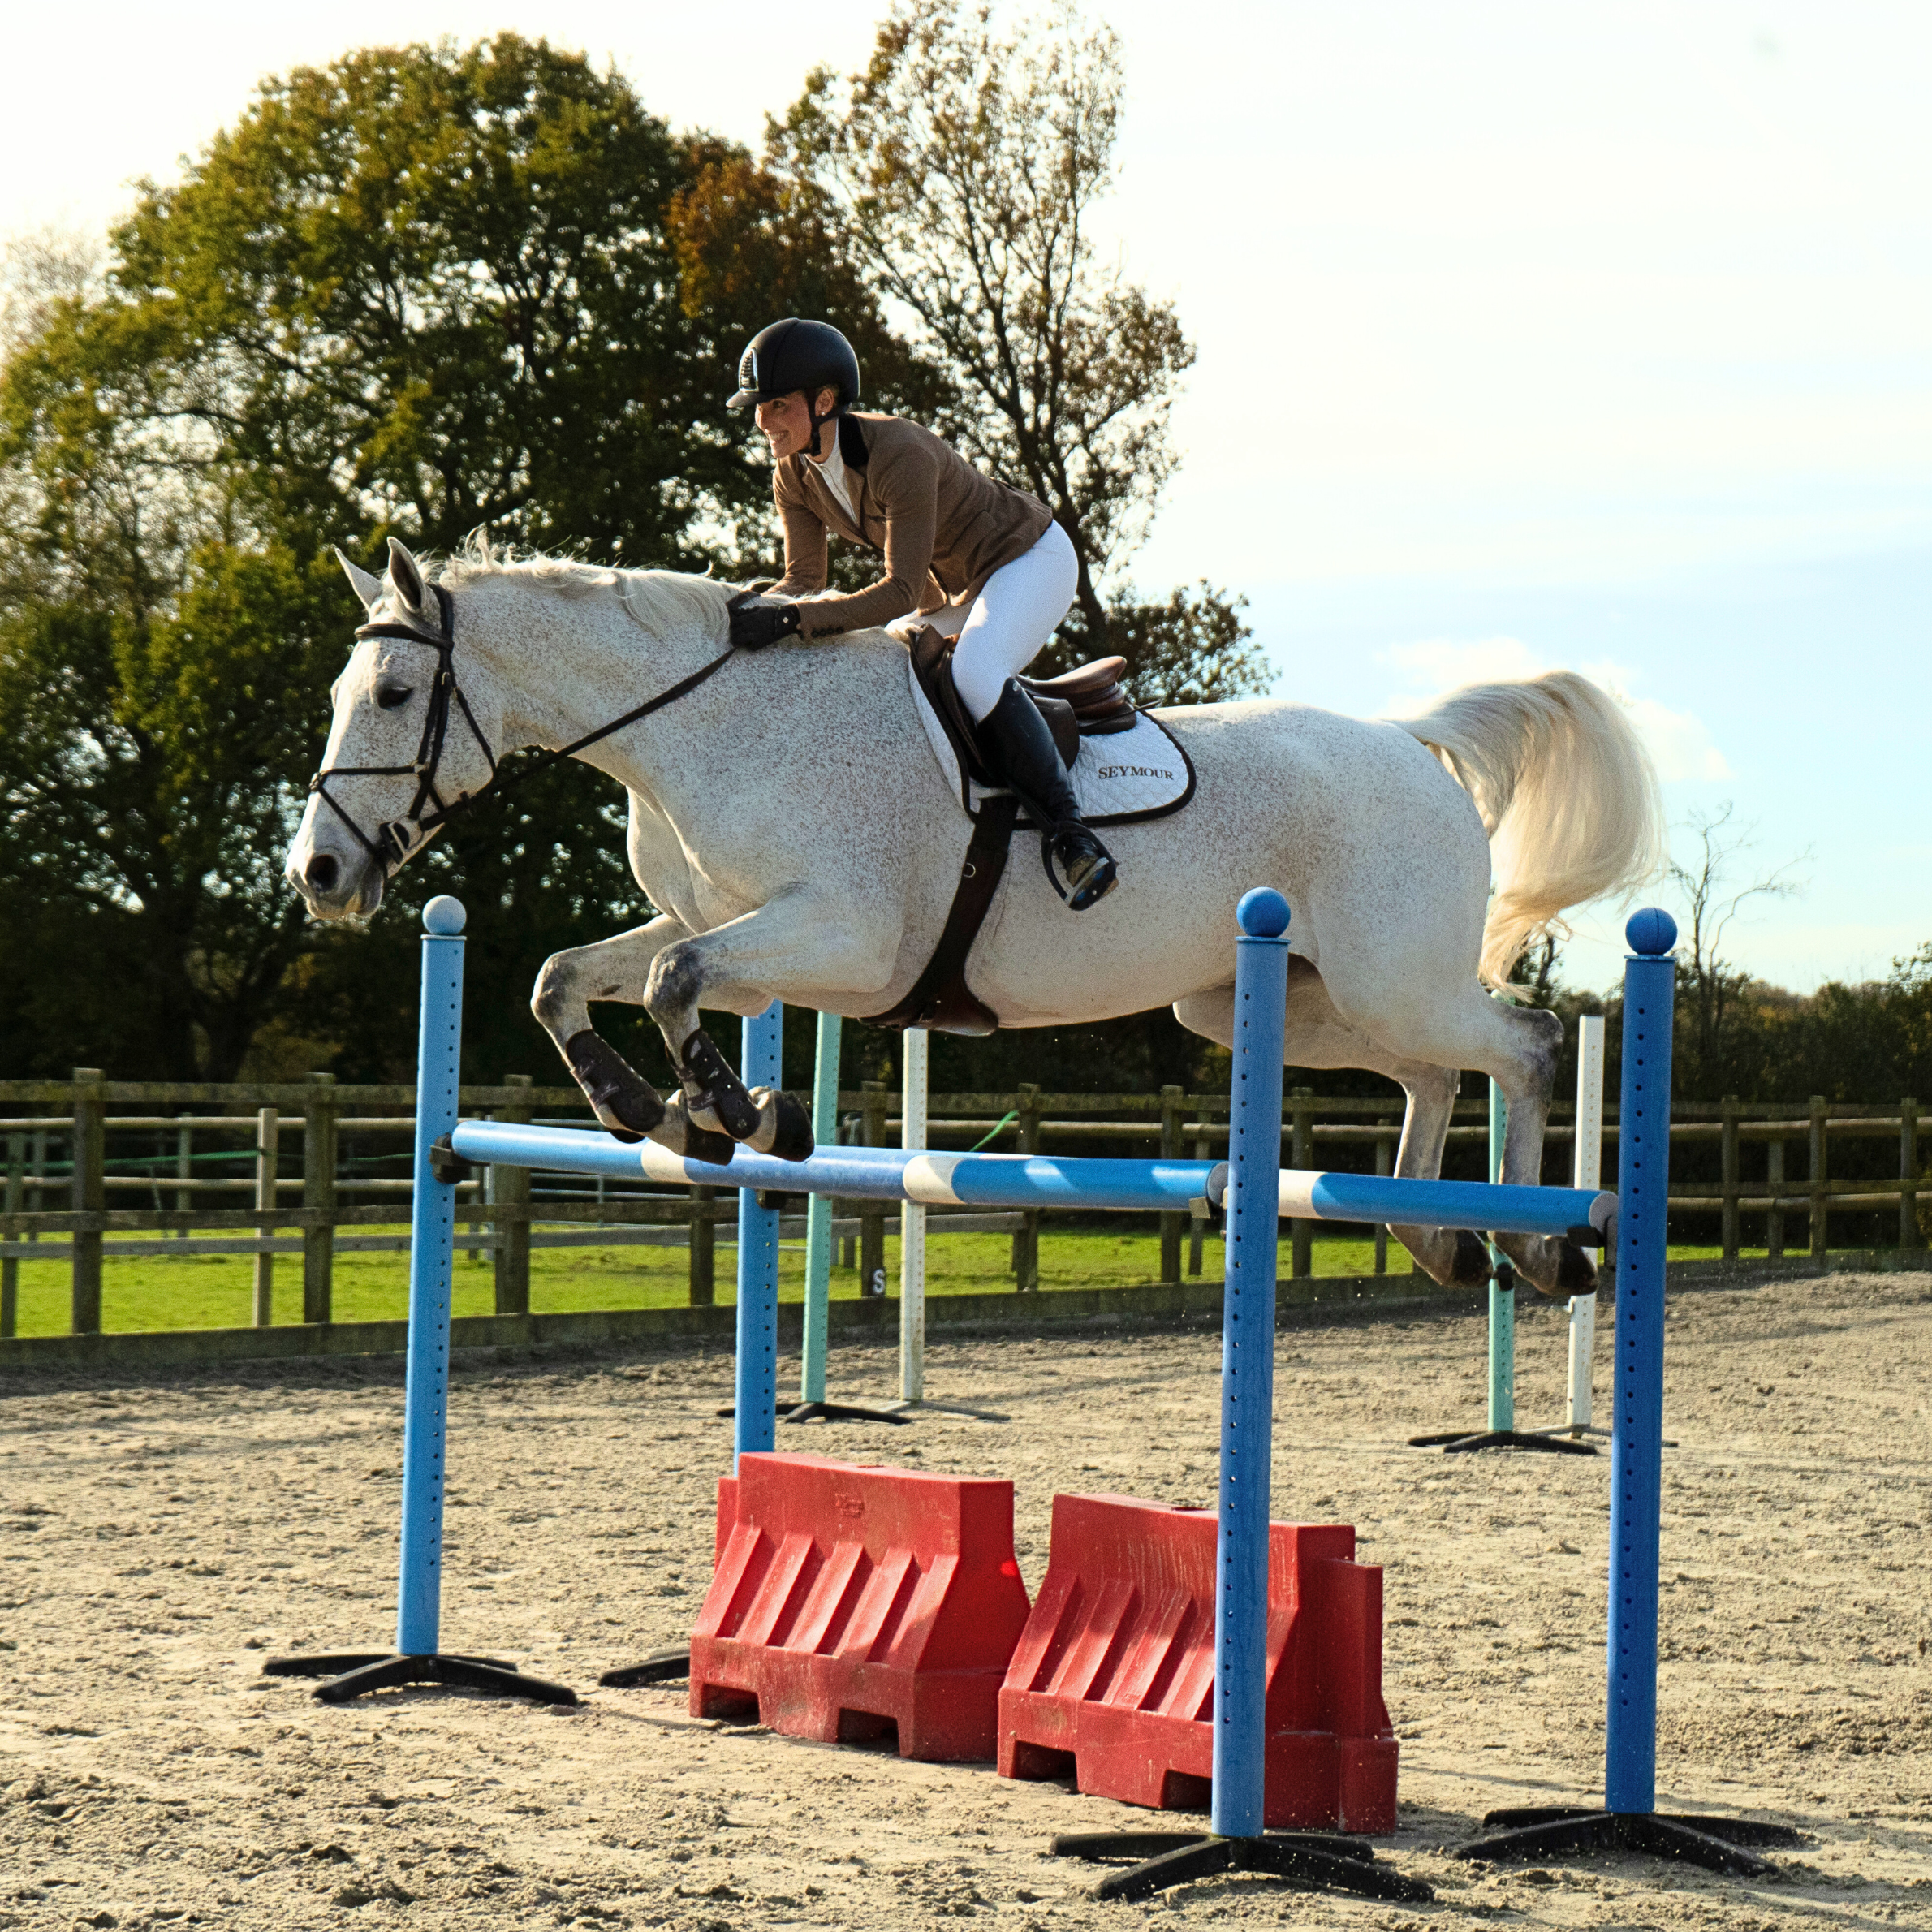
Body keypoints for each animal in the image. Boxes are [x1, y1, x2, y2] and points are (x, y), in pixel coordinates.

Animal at [282, 545, 1661, 1298]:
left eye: (393, 692)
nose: (318, 874)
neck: (701, 732)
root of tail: (1409, 742)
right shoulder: (744, 945)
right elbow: (572, 976)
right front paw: (650, 1112)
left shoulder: (839, 939)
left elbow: (672, 978)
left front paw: (739, 1118)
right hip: (1268, 1000)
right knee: (1438, 1070)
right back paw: (1441, 1238)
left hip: (1384, 976)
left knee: (1524, 1042)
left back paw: (1547, 1250)